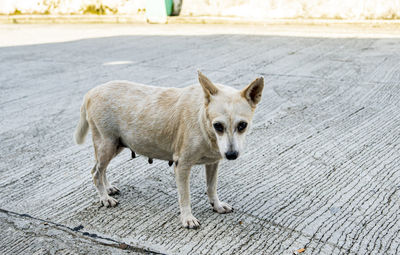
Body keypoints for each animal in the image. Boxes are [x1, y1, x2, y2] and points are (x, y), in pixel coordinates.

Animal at [75, 71, 264, 229]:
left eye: (242, 125)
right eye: (218, 126)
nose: (231, 155)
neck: (203, 119)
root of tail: (91, 92)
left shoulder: (213, 163)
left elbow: (211, 187)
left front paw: (216, 205)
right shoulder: (183, 166)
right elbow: (185, 196)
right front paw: (187, 218)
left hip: (115, 145)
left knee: (100, 169)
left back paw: (108, 188)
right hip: (107, 145)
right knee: (96, 172)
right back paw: (104, 198)